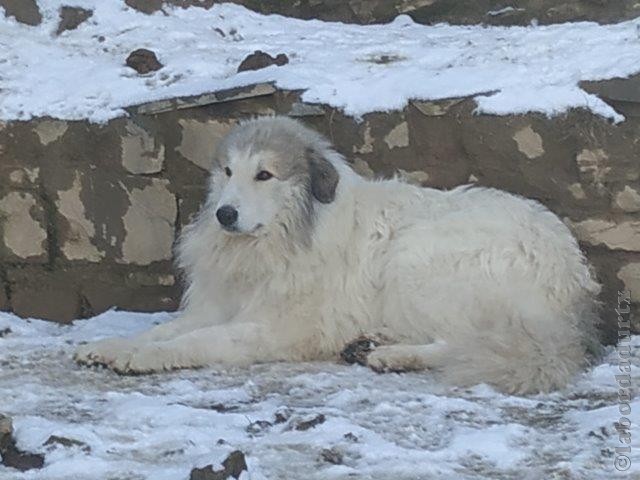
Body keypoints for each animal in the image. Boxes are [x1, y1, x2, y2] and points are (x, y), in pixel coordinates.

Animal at [75, 117, 600, 394]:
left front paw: (143, 357)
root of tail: (572, 273)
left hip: (415, 260)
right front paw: (112, 346)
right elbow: (166, 329)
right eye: (227, 172)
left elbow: (195, 341)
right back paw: (370, 343)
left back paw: (392, 355)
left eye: (264, 175)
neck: (282, 237)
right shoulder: (219, 307)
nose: (224, 214)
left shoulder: (275, 328)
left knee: (462, 343)